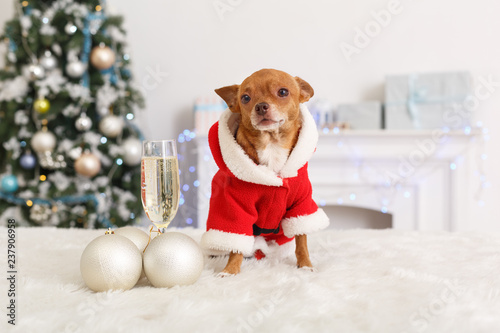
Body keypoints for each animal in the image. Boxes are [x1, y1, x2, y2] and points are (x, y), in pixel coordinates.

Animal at [201, 68, 330, 274]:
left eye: (283, 92)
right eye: (245, 98)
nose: (261, 106)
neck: (272, 145)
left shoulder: (300, 206)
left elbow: (302, 241)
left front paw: (305, 265)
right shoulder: (236, 208)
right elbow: (236, 245)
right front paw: (230, 271)